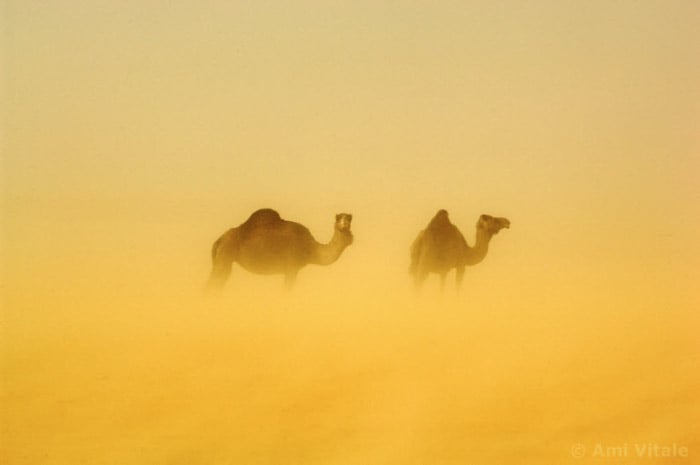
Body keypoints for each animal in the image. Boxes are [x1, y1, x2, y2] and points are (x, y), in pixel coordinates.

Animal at [207, 208, 353, 290]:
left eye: (350, 218)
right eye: (338, 218)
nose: (344, 224)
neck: (311, 248)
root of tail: (219, 240)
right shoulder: (292, 268)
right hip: (226, 254)